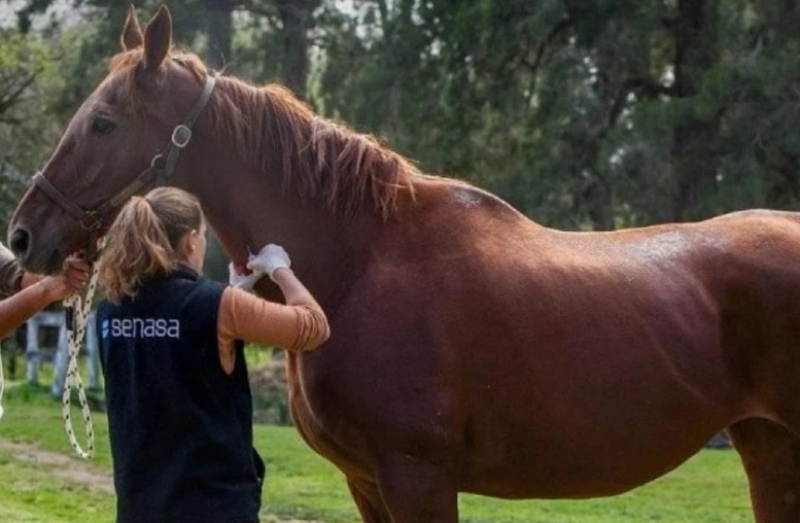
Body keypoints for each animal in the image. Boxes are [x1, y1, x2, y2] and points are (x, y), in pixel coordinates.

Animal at [7, 5, 800, 523]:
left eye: (103, 122)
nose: (22, 236)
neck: (361, 259)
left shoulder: (417, 477)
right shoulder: (368, 483)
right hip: (768, 449)